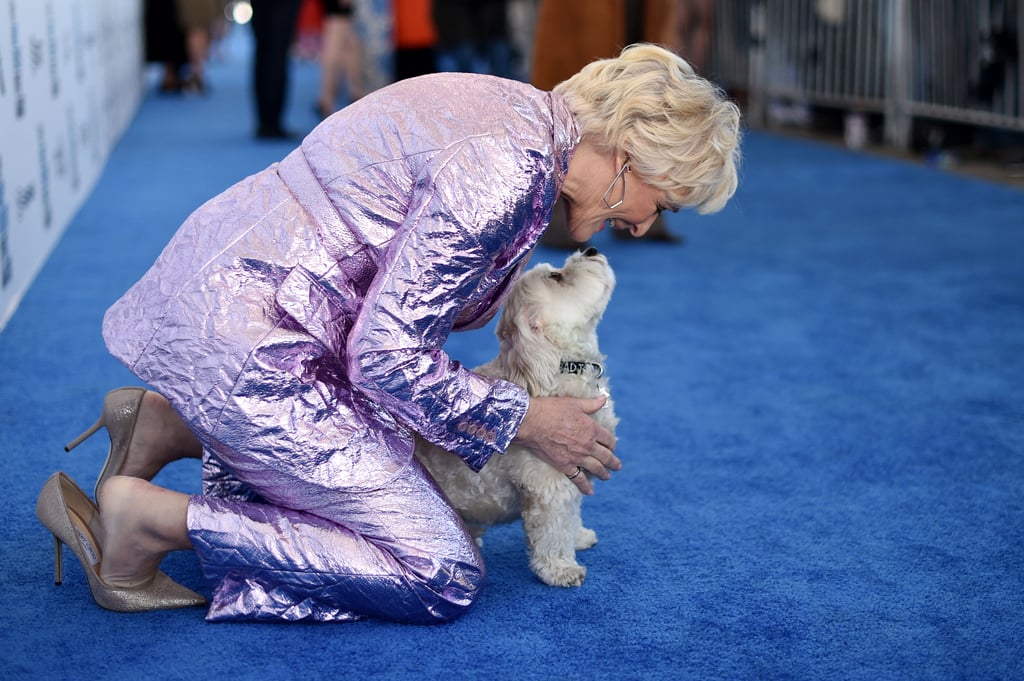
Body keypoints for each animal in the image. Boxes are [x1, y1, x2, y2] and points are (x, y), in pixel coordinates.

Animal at [413, 246, 614, 585]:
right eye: (557, 277)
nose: (590, 249)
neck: (560, 366)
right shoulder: (549, 481)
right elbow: (552, 531)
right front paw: (560, 569)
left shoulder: (572, 471)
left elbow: (570, 517)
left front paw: (578, 537)